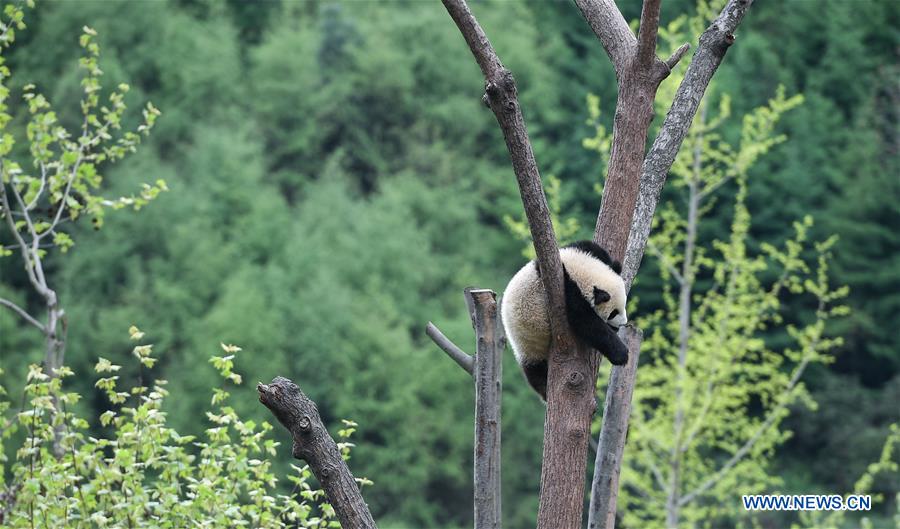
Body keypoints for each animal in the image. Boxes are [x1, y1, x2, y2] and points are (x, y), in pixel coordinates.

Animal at [500, 240, 629, 400]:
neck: (577, 271)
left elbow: (593, 248)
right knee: (535, 371)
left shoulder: (576, 251)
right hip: (528, 344)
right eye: (613, 313)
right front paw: (621, 354)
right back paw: (544, 389)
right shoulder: (565, 292)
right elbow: (586, 323)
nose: (622, 324)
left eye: (624, 305)